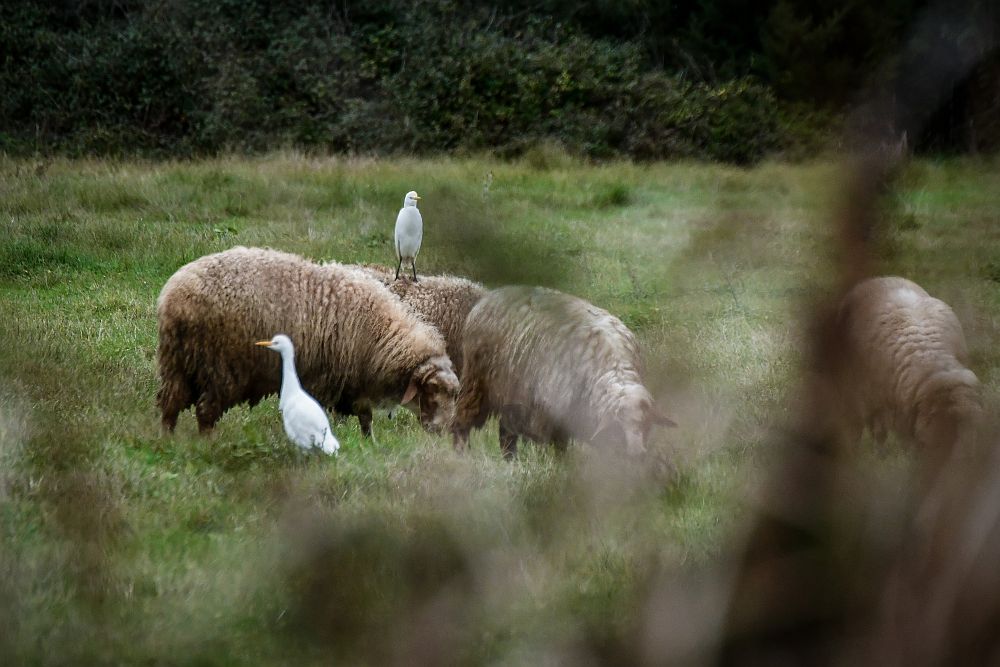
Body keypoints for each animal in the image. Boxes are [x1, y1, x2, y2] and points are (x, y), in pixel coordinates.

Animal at [157, 245, 460, 438]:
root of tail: (174, 295)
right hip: (221, 367)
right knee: (205, 411)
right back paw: (207, 443)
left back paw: (167, 440)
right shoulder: (331, 378)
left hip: (177, 363)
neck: (381, 335)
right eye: (432, 391)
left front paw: (368, 443)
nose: (444, 433)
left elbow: (365, 418)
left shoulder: (355, 381)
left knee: (170, 404)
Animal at [456, 284, 680, 462]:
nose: (637, 454)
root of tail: (492, 294)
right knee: (463, 419)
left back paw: (510, 461)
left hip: (511, 395)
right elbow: (557, 448)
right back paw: (462, 454)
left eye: (646, 425)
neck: (613, 367)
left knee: (506, 432)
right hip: (477, 382)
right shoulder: (550, 415)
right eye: (618, 425)